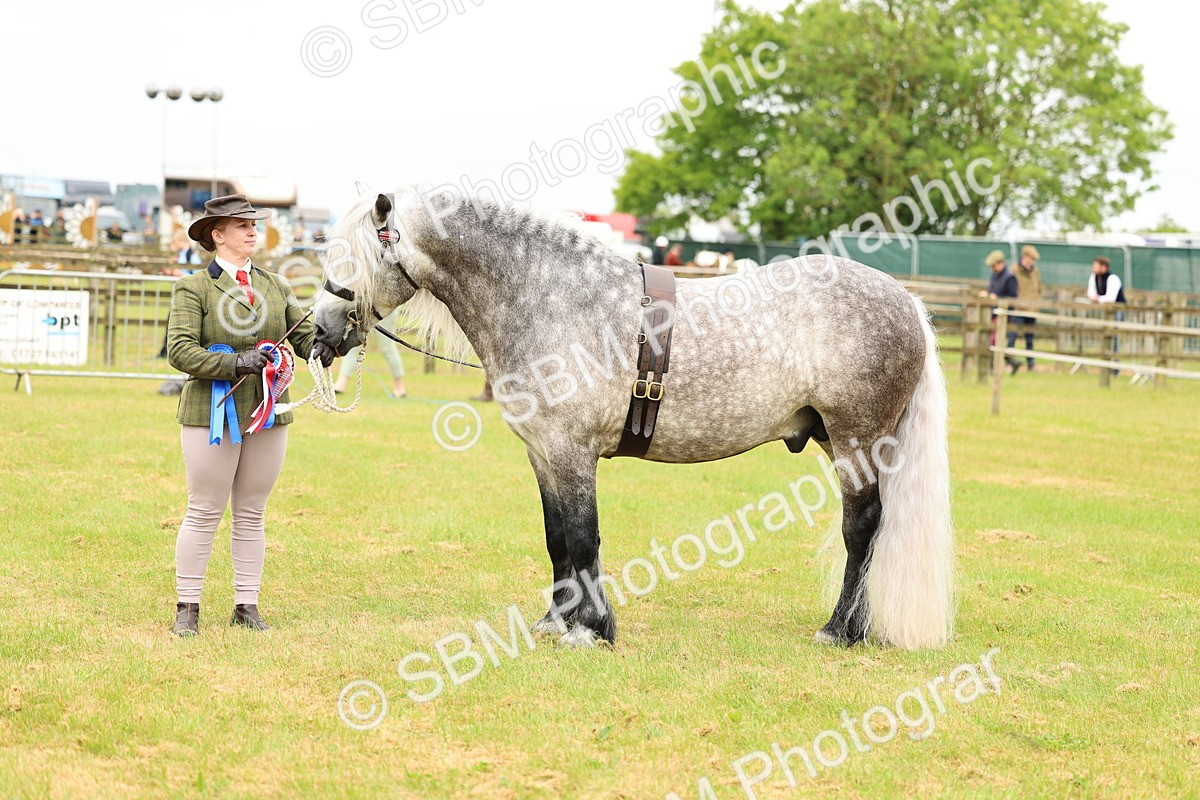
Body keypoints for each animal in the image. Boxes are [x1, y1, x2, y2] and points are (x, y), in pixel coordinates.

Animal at [311, 186, 954, 650]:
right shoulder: (543, 454)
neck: (550, 296)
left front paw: (592, 630)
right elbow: (557, 538)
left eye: (357, 254)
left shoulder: (572, 453)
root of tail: (905, 299)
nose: (318, 333)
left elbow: (583, 536)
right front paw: (556, 621)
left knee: (862, 530)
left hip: (856, 442)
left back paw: (841, 630)